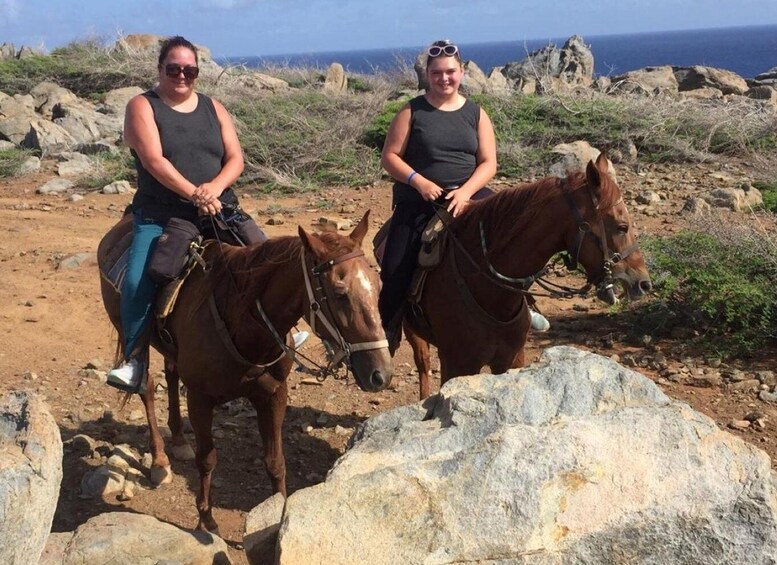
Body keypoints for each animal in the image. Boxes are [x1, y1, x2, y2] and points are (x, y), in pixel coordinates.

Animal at [98, 209, 388, 532]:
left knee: (171, 374)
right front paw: (206, 520)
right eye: (339, 293)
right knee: (146, 386)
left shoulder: (273, 394)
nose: (380, 374)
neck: (242, 322)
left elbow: (275, 461)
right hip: (133, 333)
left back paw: (179, 440)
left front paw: (276, 519)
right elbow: (207, 459)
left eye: (378, 286)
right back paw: (160, 460)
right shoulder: (200, 399)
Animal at [404, 155, 652, 396]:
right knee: (423, 364)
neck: (490, 290)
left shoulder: (511, 359)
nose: (644, 283)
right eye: (622, 227)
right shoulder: (457, 364)